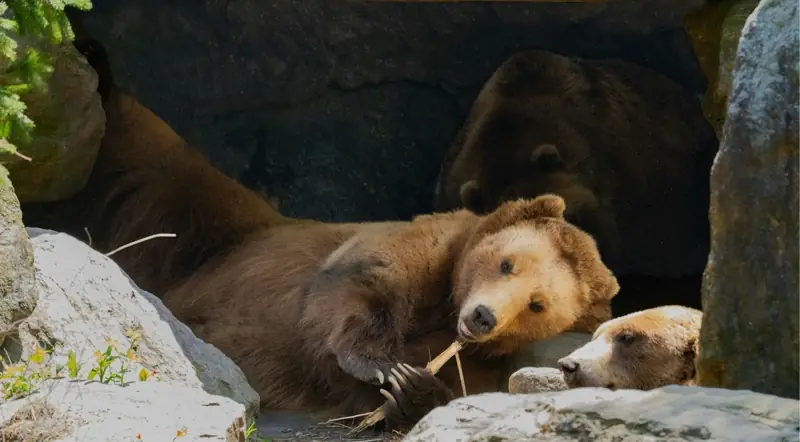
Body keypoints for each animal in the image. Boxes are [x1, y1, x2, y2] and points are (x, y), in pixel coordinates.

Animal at [21, 29, 620, 433]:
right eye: (506, 262)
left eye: (538, 304)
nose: (482, 316)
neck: (443, 307)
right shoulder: (410, 253)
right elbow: (352, 291)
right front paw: (386, 364)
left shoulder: (478, 363)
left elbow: (418, 393)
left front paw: (411, 387)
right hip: (206, 226)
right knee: (142, 157)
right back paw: (91, 64)